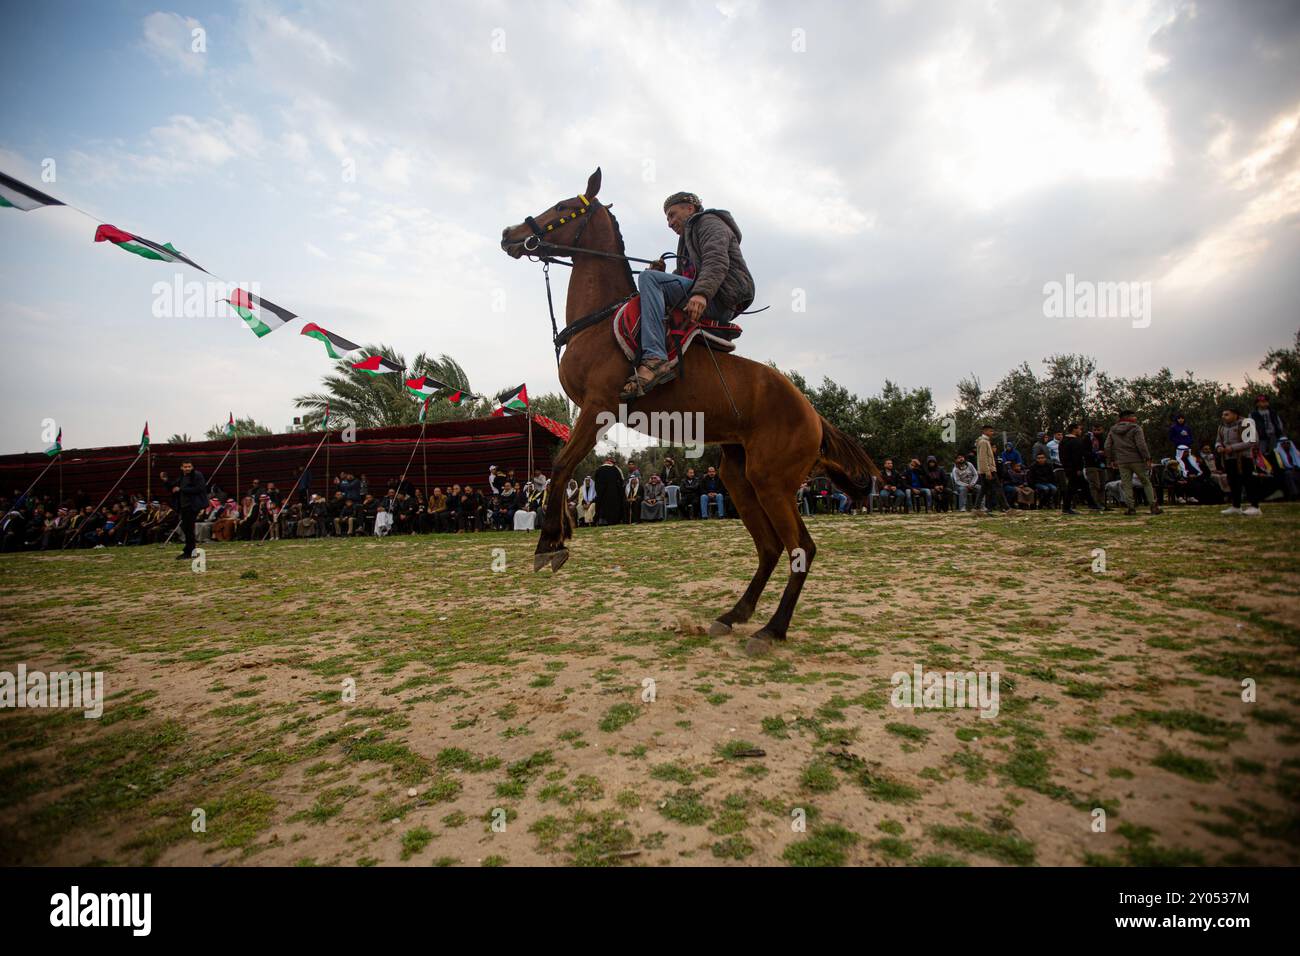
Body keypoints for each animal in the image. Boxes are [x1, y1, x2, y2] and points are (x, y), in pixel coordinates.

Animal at [499, 166, 883, 658]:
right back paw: (734, 615)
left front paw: (549, 542)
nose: (510, 234)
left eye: (565, 207)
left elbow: (562, 465)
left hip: (772, 483)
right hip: (741, 478)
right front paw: (560, 534)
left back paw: (771, 629)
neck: (600, 322)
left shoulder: (599, 408)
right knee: (770, 548)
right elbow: (562, 470)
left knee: (802, 548)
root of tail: (812, 414)